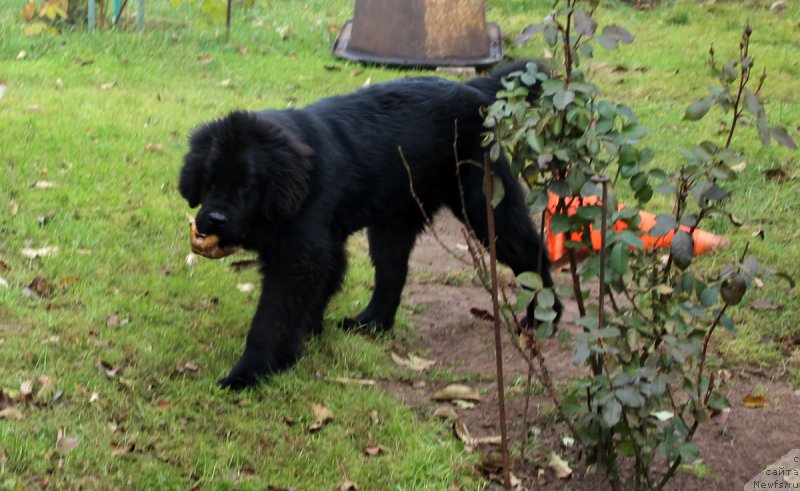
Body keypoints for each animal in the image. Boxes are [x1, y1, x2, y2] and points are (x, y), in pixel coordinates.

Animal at [178, 62, 560, 392]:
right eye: (210, 182)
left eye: (246, 186)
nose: (214, 219)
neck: (293, 187)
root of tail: (474, 90)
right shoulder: (324, 245)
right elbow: (320, 290)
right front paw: (304, 339)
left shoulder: (299, 255)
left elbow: (273, 316)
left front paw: (250, 372)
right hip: (394, 221)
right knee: (392, 273)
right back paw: (372, 323)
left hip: (484, 205)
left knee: (531, 252)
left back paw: (544, 317)